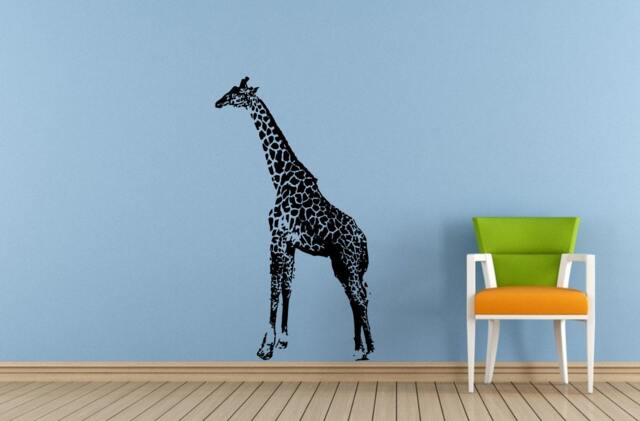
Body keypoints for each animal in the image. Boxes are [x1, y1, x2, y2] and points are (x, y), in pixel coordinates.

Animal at [215, 77, 374, 360]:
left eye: (237, 94)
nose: (218, 102)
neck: (279, 176)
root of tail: (364, 242)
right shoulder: (289, 243)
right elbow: (287, 286)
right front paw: (283, 340)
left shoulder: (276, 239)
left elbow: (274, 289)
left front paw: (265, 346)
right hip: (343, 265)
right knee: (357, 296)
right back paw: (361, 348)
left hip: (349, 263)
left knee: (360, 297)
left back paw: (366, 350)